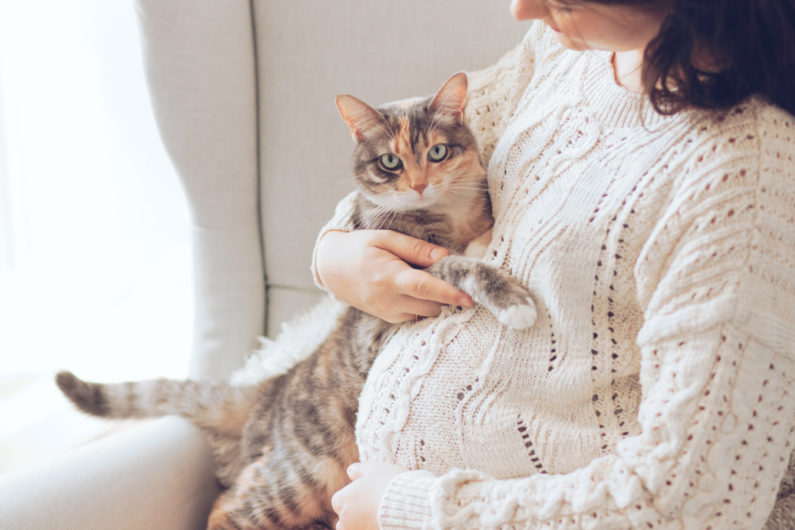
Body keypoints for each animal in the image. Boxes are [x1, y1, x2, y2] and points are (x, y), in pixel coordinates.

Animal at [59, 71, 536, 528]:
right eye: (390, 161)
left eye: (437, 152)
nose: (419, 185)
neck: (447, 215)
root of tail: (275, 383)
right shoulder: (400, 288)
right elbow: (461, 264)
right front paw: (512, 299)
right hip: (303, 473)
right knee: (225, 507)